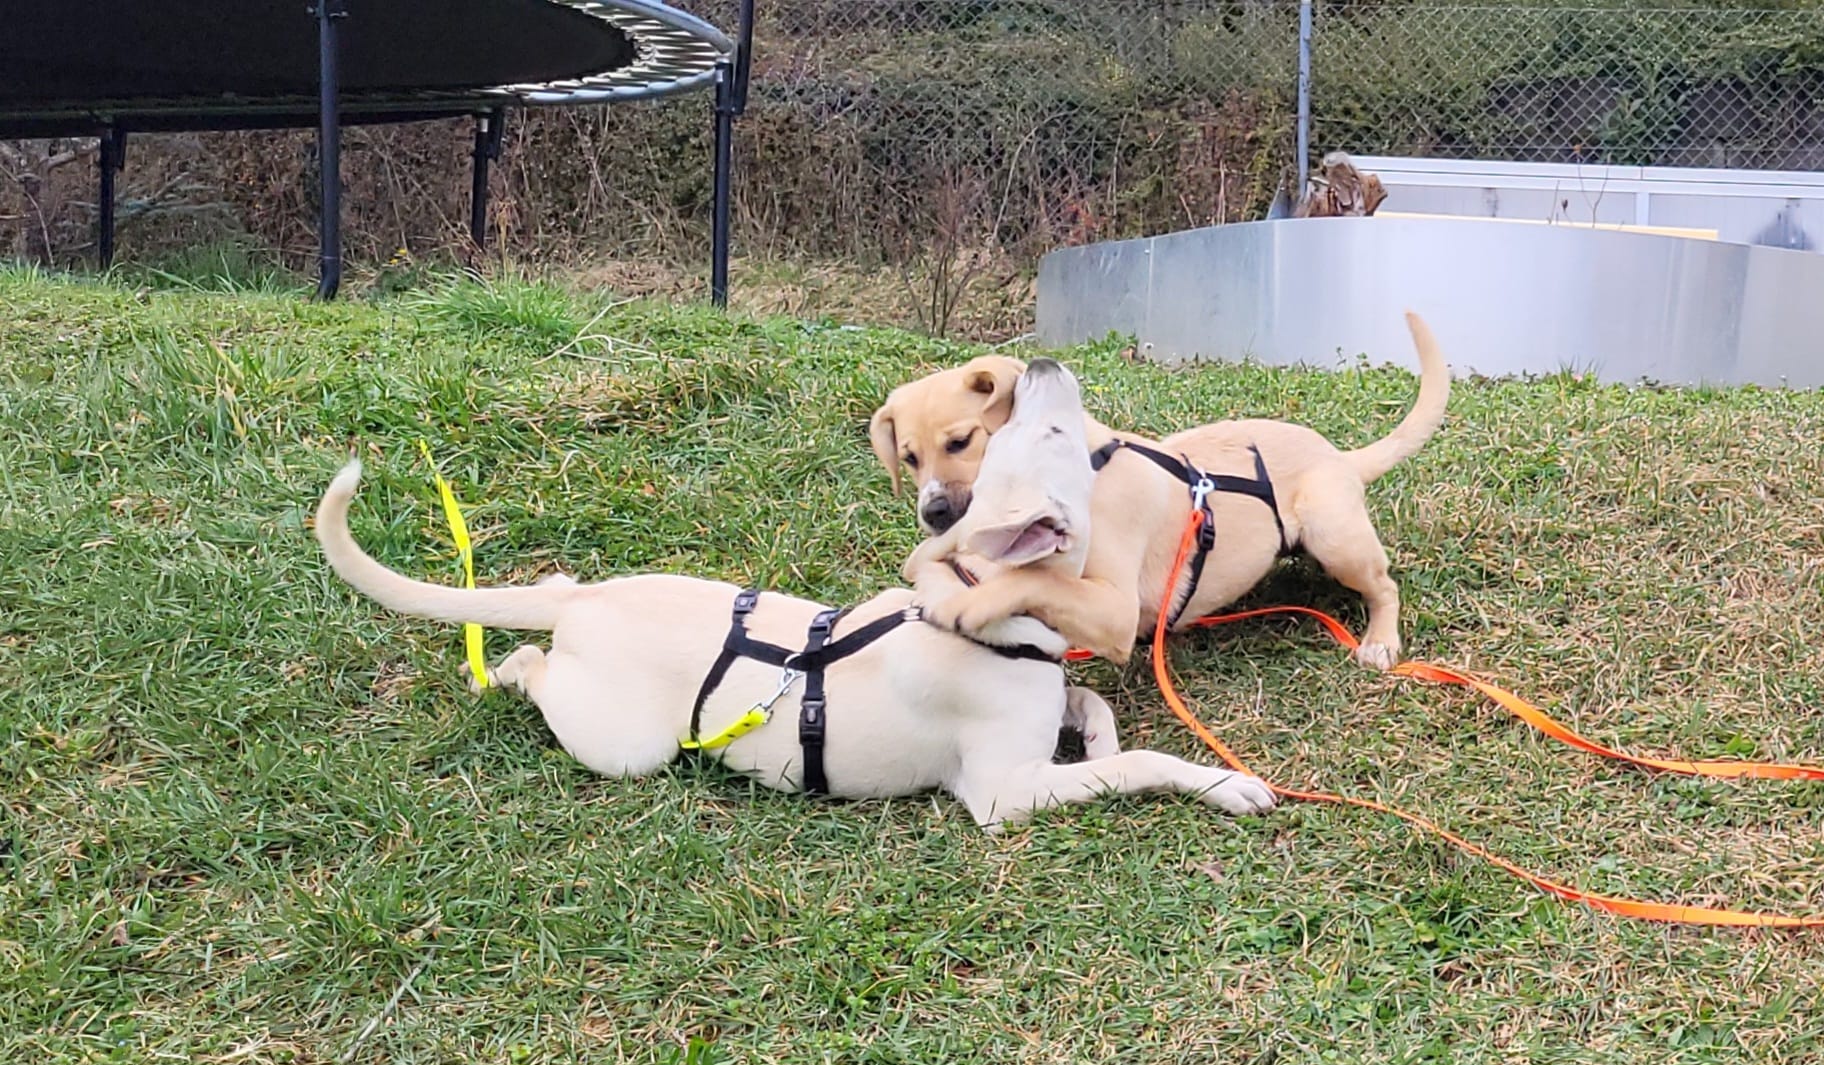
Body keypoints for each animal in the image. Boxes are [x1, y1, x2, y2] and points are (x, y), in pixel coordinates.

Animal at [312, 461, 1276, 830]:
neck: (982, 616)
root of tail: (588, 605)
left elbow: (1094, 704)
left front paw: (1101, 731)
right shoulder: (1004, 793)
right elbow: (1141, 760)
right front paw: (1223, 783)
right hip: (625, 744)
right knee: (530, 667)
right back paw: (503, 667)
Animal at [872, 312, 1450, 668]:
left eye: (961, 441)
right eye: (909, 458)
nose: (933, 511)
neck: (1089, 462)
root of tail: (1340, 458)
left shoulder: (1116, 611)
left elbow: (1039, 582)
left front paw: (969, 603)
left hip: (1335, 536)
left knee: (1385, 587)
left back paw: (1380, 641)